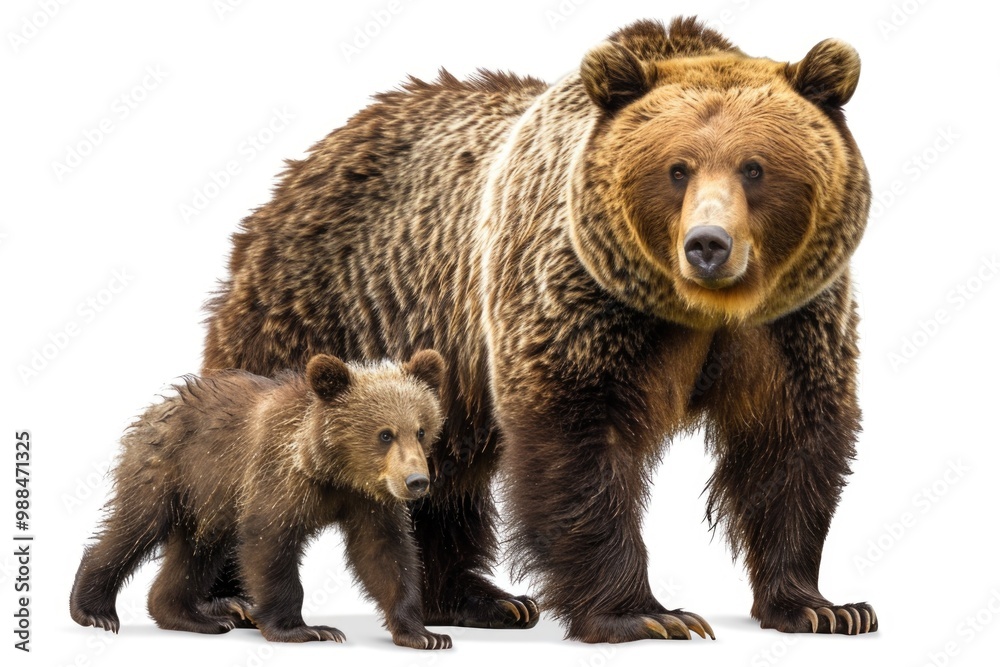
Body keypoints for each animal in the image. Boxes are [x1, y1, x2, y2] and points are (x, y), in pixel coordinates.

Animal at [70, 350, 453, 650]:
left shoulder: (368, 500)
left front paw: (425, 634)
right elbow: (269, 542)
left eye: (421, 430)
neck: (332, 470)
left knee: (196, 553)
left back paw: (199, 616)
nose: (417, 481)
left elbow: (385, 553)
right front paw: (307, 629)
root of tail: (158, 406)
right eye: (385, 434)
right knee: (134, 528)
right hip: (169, 471)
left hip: (208, 502)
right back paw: (94, 610)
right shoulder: (279, 478)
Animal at [200, 17, 876, 640]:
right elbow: (576, 439)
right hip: (330, 308)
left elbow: (791, 440)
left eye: (754, 167)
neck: (699, 308)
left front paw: (822, 607)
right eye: (677, 169)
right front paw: (648, 614)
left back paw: (481, 599)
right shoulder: (574, 301)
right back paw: (225, 599)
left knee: (442, 477)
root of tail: (304, 162)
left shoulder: (791, 323)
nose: (708, 244)